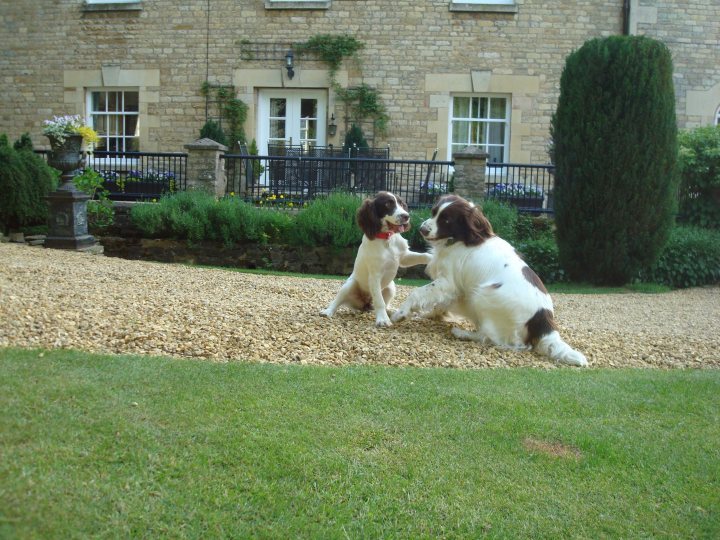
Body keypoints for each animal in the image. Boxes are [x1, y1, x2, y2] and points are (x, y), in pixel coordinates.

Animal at [322, 192, 434, 326]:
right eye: (388, 204)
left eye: (402, 204)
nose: (406, 216)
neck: (387, 239)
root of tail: (366, 304)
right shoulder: (375, 275)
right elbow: (379, 301)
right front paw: (382, 320)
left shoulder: (403, 257)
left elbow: (423, 256)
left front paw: (435, 258)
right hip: (350, 285)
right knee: (338, 301)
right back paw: (328, 311)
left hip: (391, 287)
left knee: (384, 304)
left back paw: (391, 310)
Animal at [390, 194, 588, 368]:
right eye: (434, 212)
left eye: (446, 220)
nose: (422, 229)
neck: (462, 238)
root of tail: (543, 320)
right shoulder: (454, 287)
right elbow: (440, 304)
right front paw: (430, 315)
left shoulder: (447, 282)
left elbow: (417, 292)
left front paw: (401, 313)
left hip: (482, 295)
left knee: (493, 338)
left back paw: (462, 333)